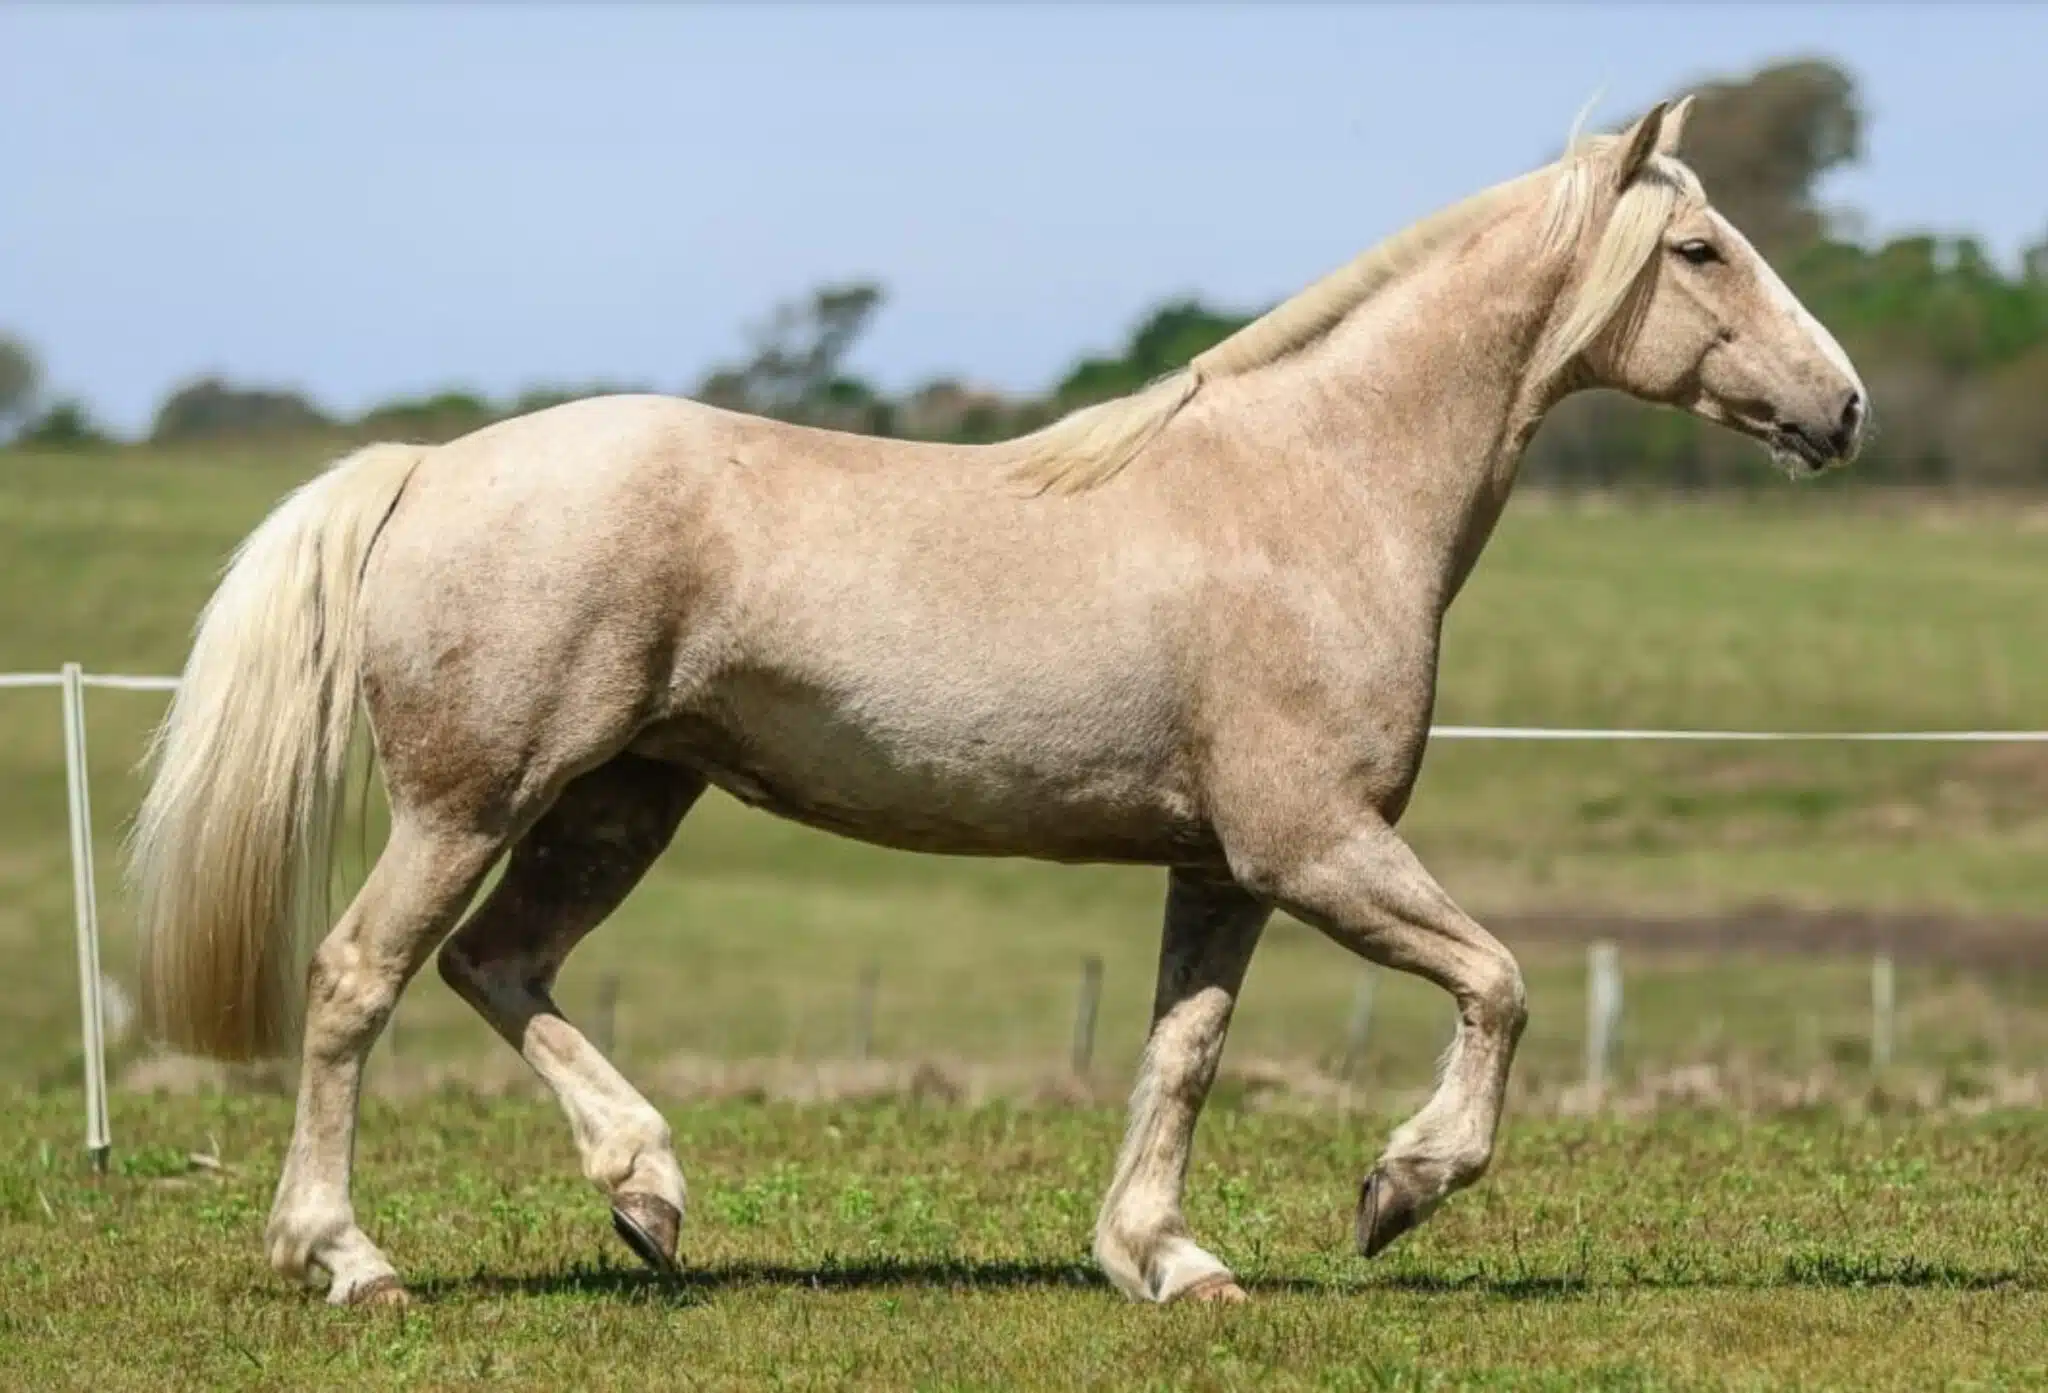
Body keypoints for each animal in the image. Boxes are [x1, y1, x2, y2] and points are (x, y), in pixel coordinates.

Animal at [130, 96, 1868, 1308]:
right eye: (1701, 253)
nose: (1843, 406)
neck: (1316, 491)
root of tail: (429, 465)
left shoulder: (1225, 867)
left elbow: (1184, 1052)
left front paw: (1169, 1260)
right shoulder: (1316, 845)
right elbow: (1499, 984)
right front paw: (1398, 1188)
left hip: (625, 797)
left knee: (501, 965)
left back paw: (648, 1194)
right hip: (472, 799)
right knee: (358, 979)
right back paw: (347, 1259)